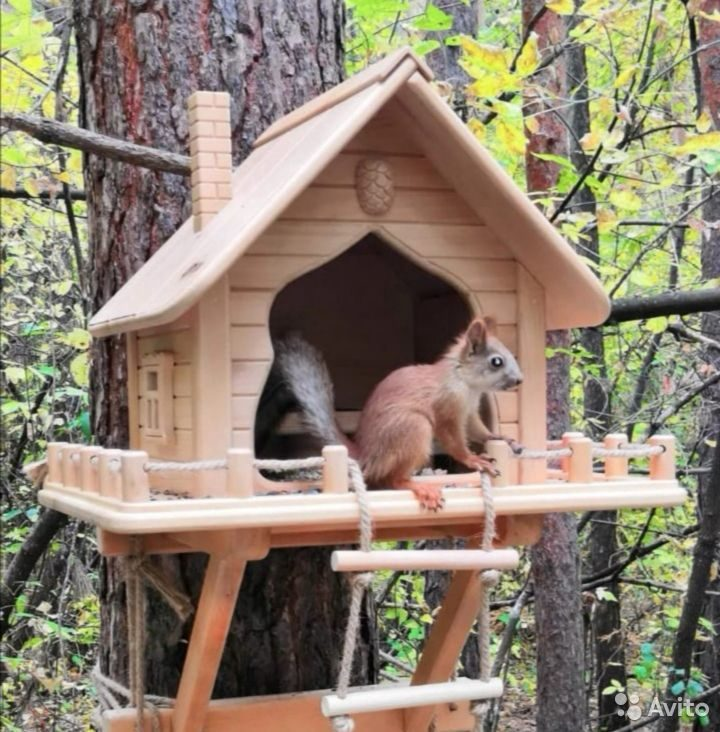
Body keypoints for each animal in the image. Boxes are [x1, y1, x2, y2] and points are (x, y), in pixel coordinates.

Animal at [272, 318, 520, 512]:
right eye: (496, 361)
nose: (520, 380)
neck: (466, 382)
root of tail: (367, 456)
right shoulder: (447, 408)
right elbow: (453, 439)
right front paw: (473, 459)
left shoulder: (469, 411)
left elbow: (477, 430)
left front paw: (498, 437)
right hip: (412, 427)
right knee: (394, 480)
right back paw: (419, 487)